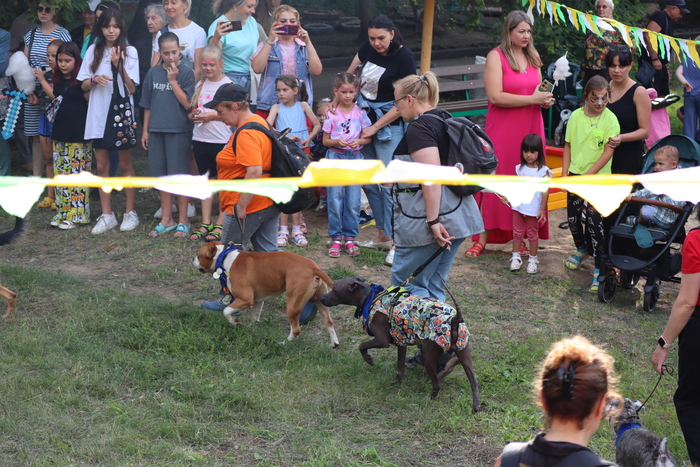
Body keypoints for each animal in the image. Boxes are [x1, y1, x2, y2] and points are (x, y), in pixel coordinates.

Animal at [193, 242, 339, 348]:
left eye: (198, 255)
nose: (193, 258)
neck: (224, 257)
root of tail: (313, 267)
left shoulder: (246, 299)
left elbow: (227, 311)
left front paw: (235, 322)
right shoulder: (258, 301)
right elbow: (254, 317)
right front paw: (251, 330)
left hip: (292, 304)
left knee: (296, 330)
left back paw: (283, 344)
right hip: (321, 304)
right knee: (329, 323)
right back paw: (334, 344)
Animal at [320, 276, 480, 411]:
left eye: (334, 290)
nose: (321, 298)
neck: (371, 298)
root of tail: (454, 319)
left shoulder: (382, 340)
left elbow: (362, 346)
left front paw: (368, 359)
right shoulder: (401, 343)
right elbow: (400, 369)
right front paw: (397, 382)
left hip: (429, 355)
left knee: (437, 384)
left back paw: (430, 398)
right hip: (464, 355)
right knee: (474, 382)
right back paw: (476, 407)